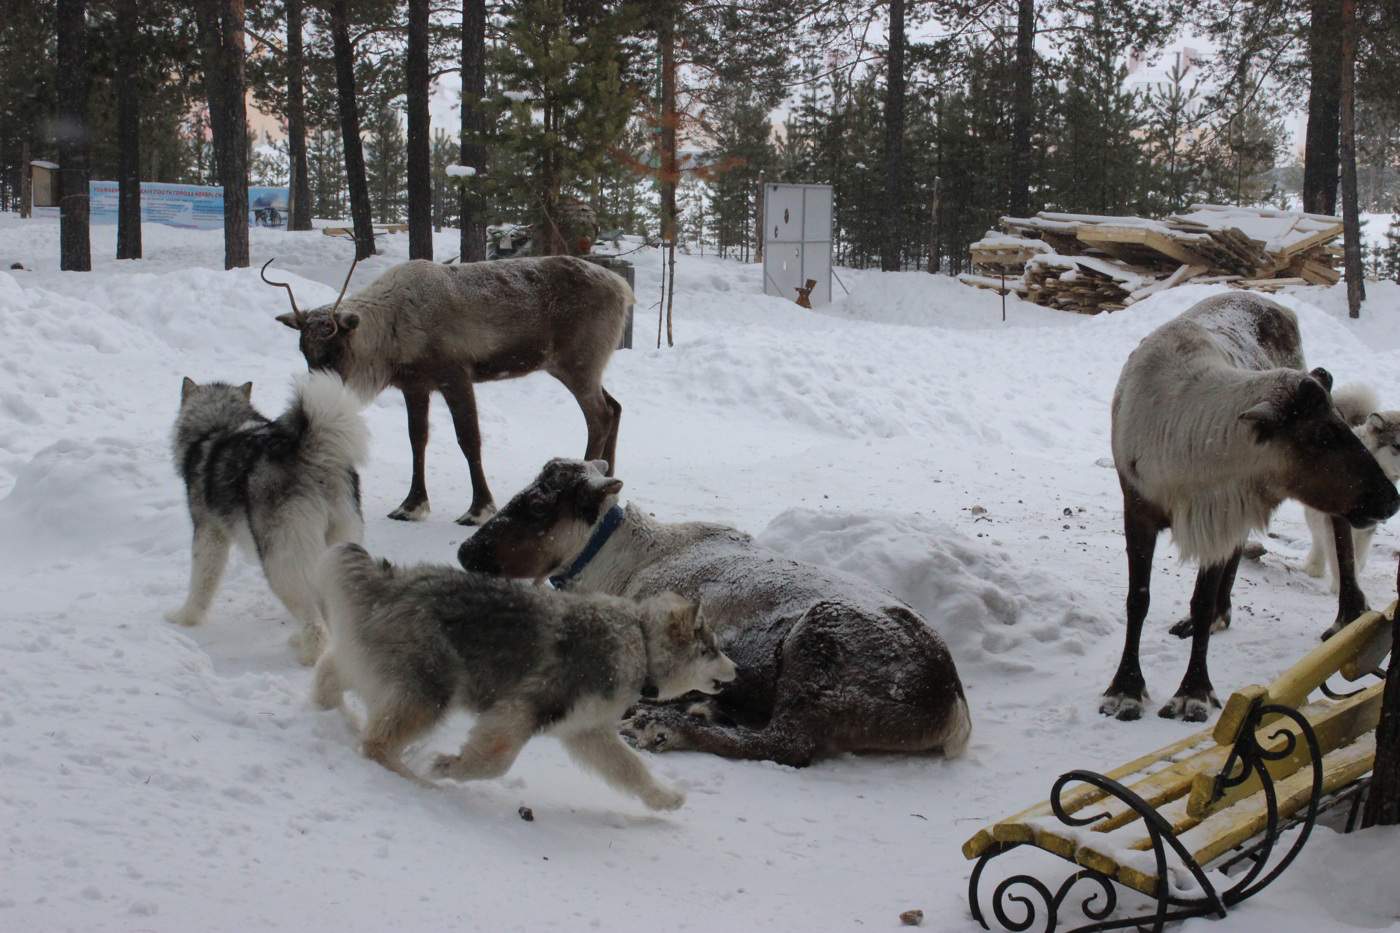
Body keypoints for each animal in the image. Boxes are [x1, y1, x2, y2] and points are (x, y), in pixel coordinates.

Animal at [165, 369, 366, 661]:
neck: (218, 426)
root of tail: (314, 455)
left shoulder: (209, 534)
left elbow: (201, 583)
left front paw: (185, 618)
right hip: (335, 546)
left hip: (280, 561)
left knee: (313, 618)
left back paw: (310, 654)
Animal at [312, 540, 739, 812]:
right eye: (713, 649)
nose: (738, 671)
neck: (639, 642)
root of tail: (391, 581)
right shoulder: (520, 710)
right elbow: (494, 763)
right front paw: (447, 768)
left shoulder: (587, 731)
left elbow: (630, 770)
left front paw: (665, 799)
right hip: (431, 690)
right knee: (377, 745)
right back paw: (420, 782)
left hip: (382, 664)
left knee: (331, 671)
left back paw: (328, 713)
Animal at [459, 456, 974, 762]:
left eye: (539, 502)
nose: (468, 551)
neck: (619, 566)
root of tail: (951, 703)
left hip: (817, 643)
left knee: (786, 743)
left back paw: (662, 725)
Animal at [1299, 383, 1400, 588]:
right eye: (1397, 446)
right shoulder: (1334, 522)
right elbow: (1340, 558)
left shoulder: (1369, 526)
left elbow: (1357, 558)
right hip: (1315, 513)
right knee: (1318, 538)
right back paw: (1314, 566)